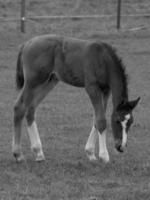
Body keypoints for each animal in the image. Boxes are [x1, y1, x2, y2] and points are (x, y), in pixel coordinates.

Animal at [12, 34, 140, 162]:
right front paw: (104, 156)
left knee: (31, 108)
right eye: (117, 121)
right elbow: (101, 120)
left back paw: (38, 153)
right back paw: (18, 154)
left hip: (49, 80)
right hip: (33, 81)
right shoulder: (92, 88)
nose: (121, 146)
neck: (102, 59)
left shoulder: (106, 90)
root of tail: (27, 43)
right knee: (19, 107)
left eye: (131, 122)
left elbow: (97, 117)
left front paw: (90, 153)